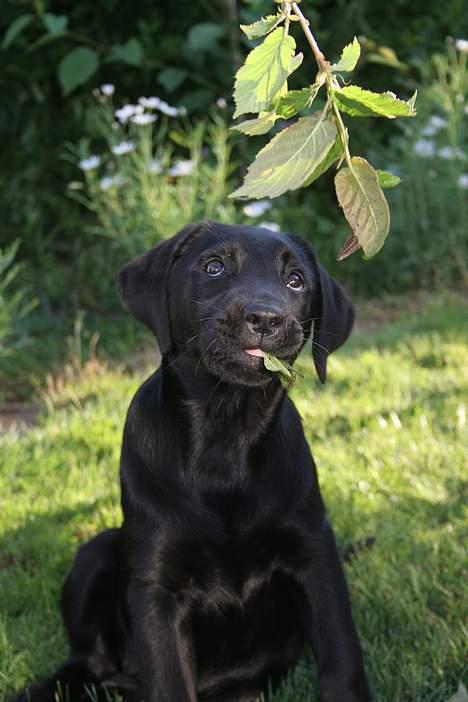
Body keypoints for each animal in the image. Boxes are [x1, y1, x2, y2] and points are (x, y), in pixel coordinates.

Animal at [14, 221, 370, 702]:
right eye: (214, 267)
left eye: (296, 280)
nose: (266, 318)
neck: (226, 435)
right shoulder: (156, 587)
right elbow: (169, 682)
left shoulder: (315, 553)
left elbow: (341, 661)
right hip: (95, 552)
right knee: (86, 662)